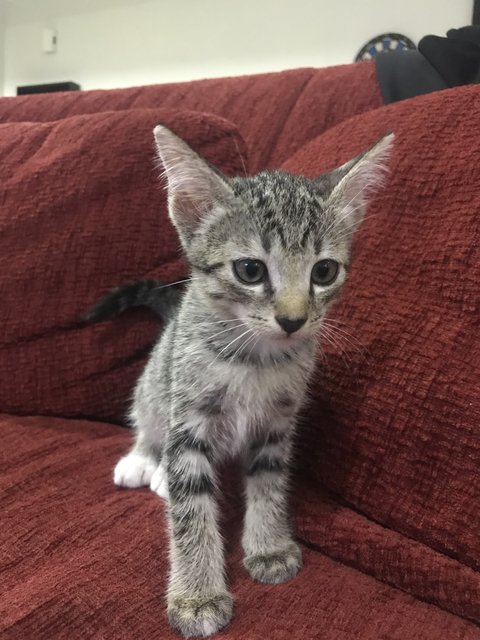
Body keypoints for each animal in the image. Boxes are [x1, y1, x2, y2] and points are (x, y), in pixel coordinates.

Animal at [109, 127, 394, 636]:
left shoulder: (278, 425)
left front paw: (268, 546)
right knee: (150, 419)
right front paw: (197, 596)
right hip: (157, 379)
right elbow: (190, 510)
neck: (255, 359)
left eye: (324, 271)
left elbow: (268, 484)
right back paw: (145, 461)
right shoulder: (190, 417)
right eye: (250, 270)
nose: (293, 320)